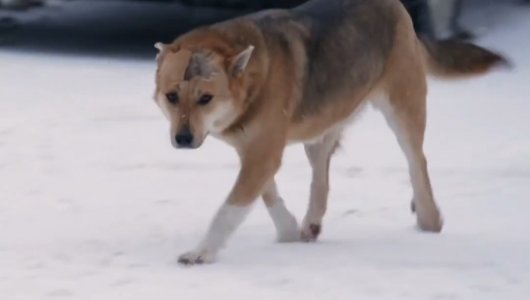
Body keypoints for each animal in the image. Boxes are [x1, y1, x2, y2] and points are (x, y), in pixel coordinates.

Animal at [152, 0, 504, 264]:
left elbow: (230, 209)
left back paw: (428, 220)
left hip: (402, 107)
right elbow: (268, 194)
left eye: (205, 98)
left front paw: (201, 252)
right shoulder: (253, 150)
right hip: (323, 124)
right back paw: (311, 224)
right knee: (321, 175)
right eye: (171, 96)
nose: (183, 139)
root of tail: (394, 5)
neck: (251, 82)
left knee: (417, 162)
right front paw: (288, 231)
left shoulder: (263, 152)